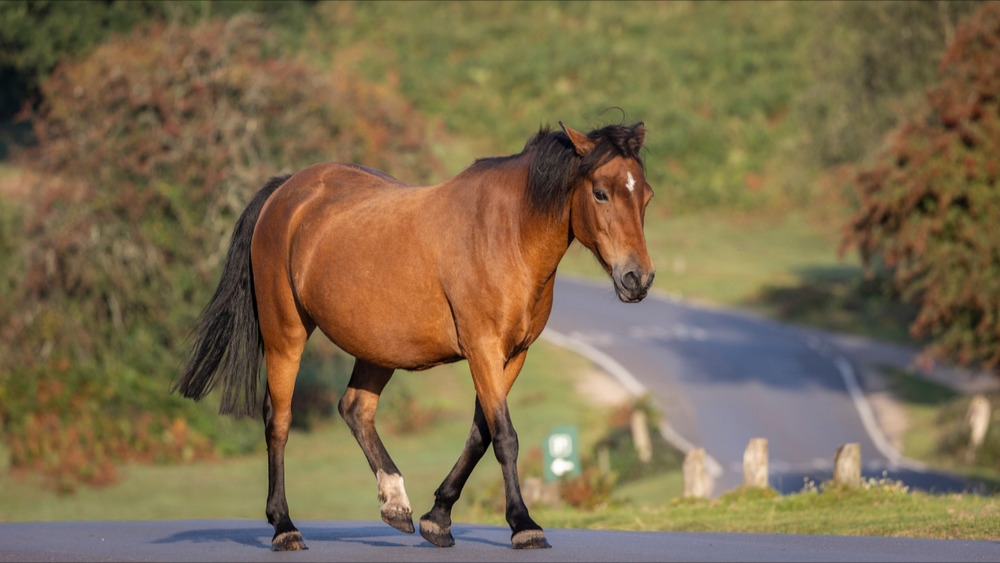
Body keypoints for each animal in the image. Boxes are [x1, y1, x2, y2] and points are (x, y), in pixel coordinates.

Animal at [172, 120, 656, 552]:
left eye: (645, 196)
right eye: (600, 192)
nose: (638, 279)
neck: (507, 232)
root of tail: (285, 191)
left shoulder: (512, 356)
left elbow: (481, 433)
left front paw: (437, 518)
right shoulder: (483, 349)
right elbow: (504, 437)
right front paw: (523, 525)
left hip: (376, 348)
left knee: (355, 409)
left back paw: (395, 502)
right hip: (285, 334)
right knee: (279, 421)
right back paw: (284, 527)